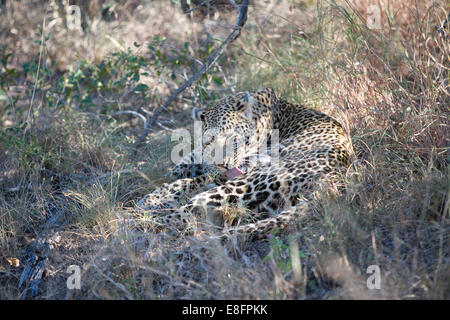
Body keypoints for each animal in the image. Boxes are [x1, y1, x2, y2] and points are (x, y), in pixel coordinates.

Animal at [135, 87, 354, 238]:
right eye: (209, 141)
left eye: (232, 138)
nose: (223, 163)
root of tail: (331, 183)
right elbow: (187, 167)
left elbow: (195, 180)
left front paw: (155, 197)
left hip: (248, 184)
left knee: (187, 211)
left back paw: (138, 221)